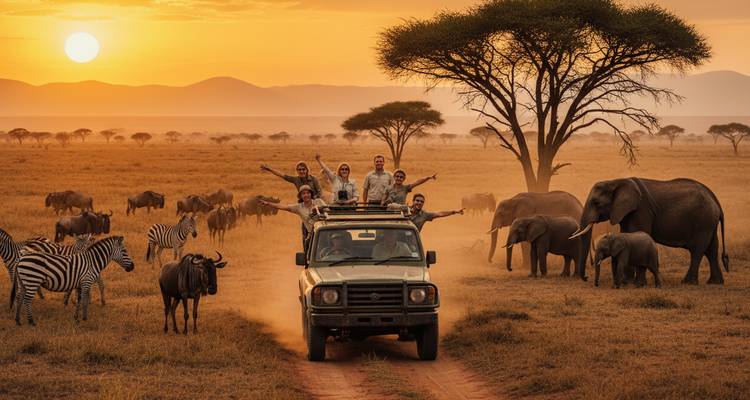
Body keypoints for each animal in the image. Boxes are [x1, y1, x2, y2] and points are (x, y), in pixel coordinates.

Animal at [571, 177, 728, 285]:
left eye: (596, 203)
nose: (585, 278)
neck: (616, 181)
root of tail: (715, 200)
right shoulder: (626, 212)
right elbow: (627, 233)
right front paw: (628, 280)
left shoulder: (642, 210)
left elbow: (639, 231)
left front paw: (630, 281)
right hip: (709, 222)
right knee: (712, 249)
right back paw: (715, 282)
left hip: (703, 221)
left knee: (697, 250)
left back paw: (688, 282)